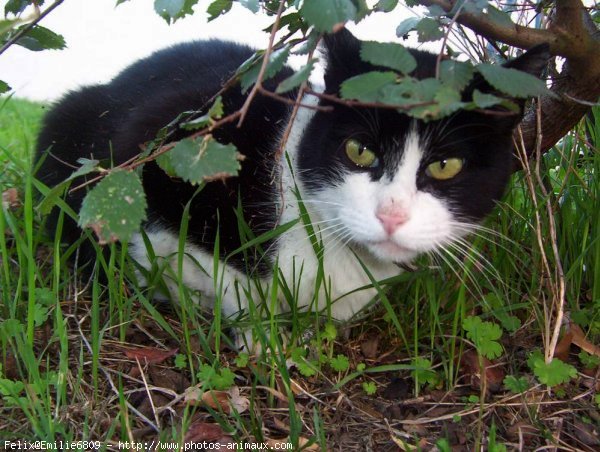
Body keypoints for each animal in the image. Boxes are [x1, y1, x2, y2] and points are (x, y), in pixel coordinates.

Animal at [34, 27, 548, 340]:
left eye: (445, 166)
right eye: (359, 150)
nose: (391, 215)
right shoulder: (161, 154)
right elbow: (217, 276)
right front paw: (260, 334)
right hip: (69, 118)